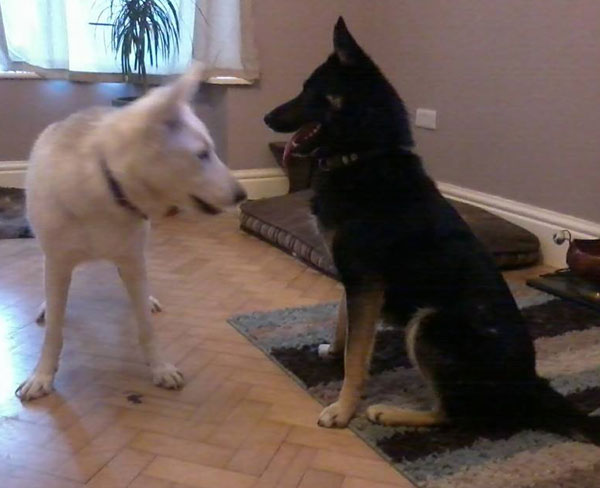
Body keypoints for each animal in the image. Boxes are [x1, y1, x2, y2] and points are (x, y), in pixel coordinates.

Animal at [16, 65, 246, 400]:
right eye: (202, 154)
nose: (243, 195)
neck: (106, 184)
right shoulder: (58, 263)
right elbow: (54, 331)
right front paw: (42, 374)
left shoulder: (132, 260)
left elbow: (146, 327)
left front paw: (160, 367)